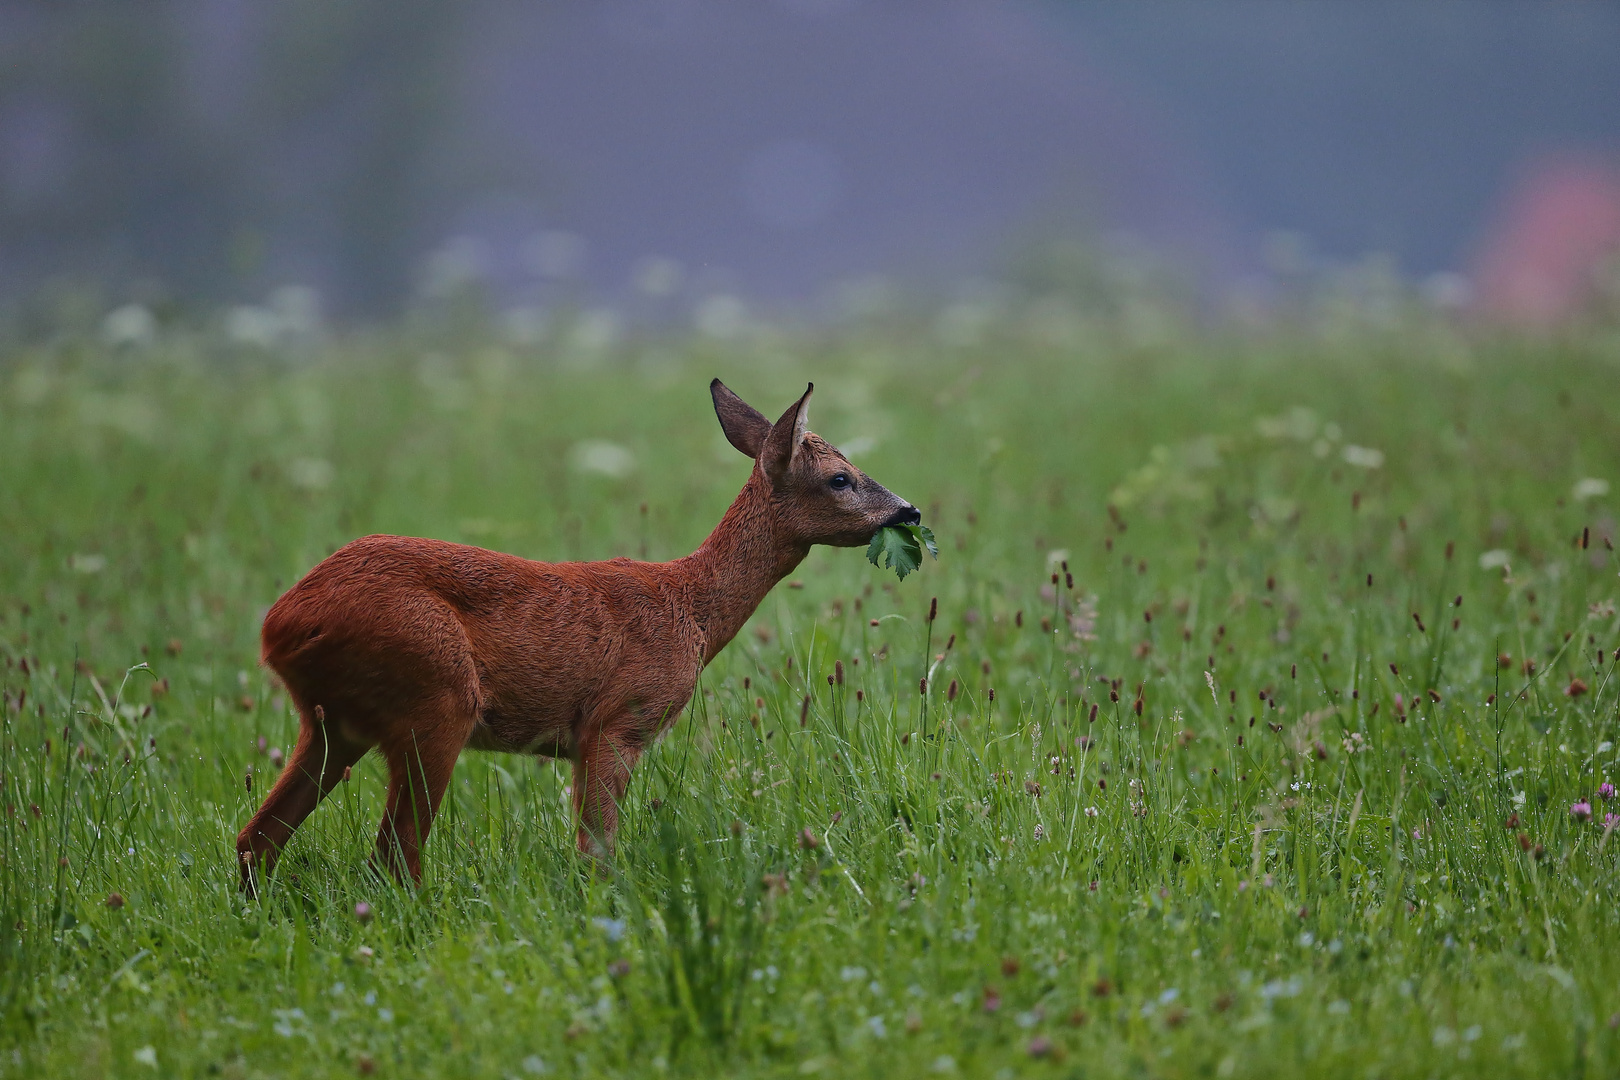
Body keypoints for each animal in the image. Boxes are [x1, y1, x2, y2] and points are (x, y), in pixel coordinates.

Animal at [241, 380, 926, 887]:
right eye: (840, 478)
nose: (909, 510)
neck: (692, 611)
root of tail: (281, 625)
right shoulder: (617, 721)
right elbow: (597, 850)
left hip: (335, 723)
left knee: (257, 839)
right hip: (435, 696)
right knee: (392, 857)